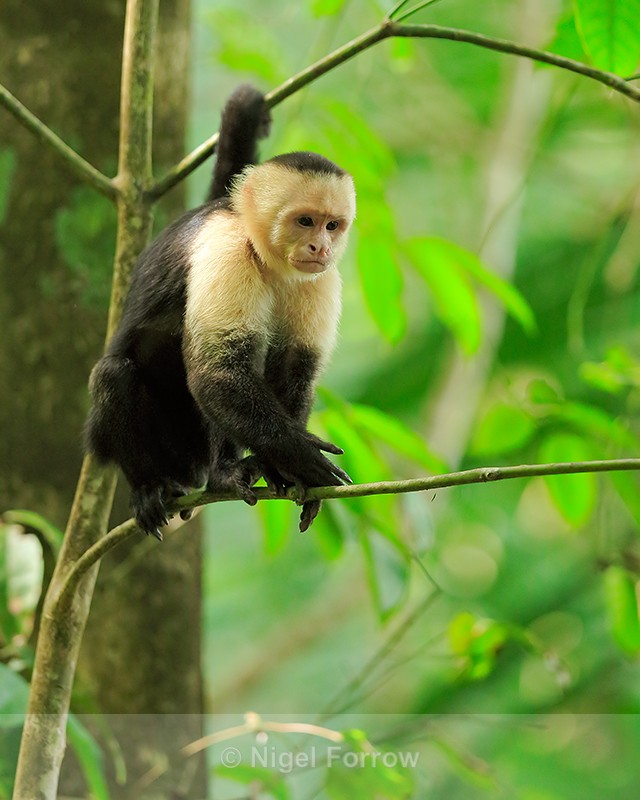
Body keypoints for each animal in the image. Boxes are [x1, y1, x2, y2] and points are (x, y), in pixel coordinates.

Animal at [84, 85, 356, 539]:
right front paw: (302, 457)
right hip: (156, 447)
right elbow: (217, 372)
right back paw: (177, 483)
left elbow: (294, 369)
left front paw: (284, 467)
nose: (320, 247)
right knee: (115, 374)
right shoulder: (225, 247)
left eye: (332, 225)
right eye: (305, 221)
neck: (267, 258)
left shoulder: (320, 280)